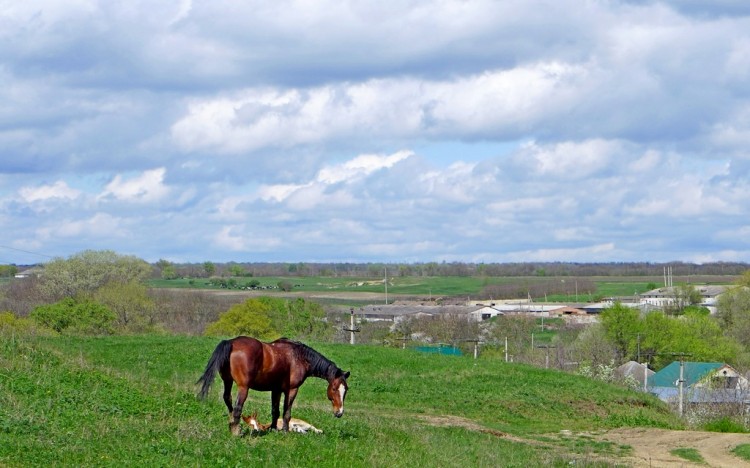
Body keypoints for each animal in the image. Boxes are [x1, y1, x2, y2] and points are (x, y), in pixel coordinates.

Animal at [195, 336, 352, 436]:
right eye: (334, 389)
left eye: (345, 391)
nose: (339, 413)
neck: (299, 357)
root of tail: (231, 342)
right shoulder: (292, 390)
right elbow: (286, 412)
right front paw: (285, 431)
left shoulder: (276, 390)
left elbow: (275, 411)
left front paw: (274, 429)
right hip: (243, 387)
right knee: (238, 407)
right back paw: (236, 431)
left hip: (227, 382)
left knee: (228, 400)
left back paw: (232, 425)